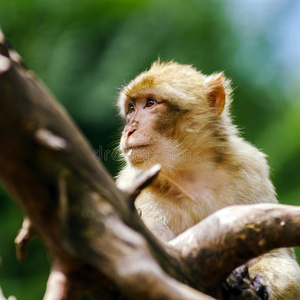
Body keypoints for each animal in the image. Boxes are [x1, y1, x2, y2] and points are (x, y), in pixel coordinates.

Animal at [114, 61, 300, 300]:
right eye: (131, 108)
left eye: (150, 103)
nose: (129, 129)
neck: (191, 176)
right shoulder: (134, 186)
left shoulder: (251, 169)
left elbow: (278, 257)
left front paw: (259, 283)